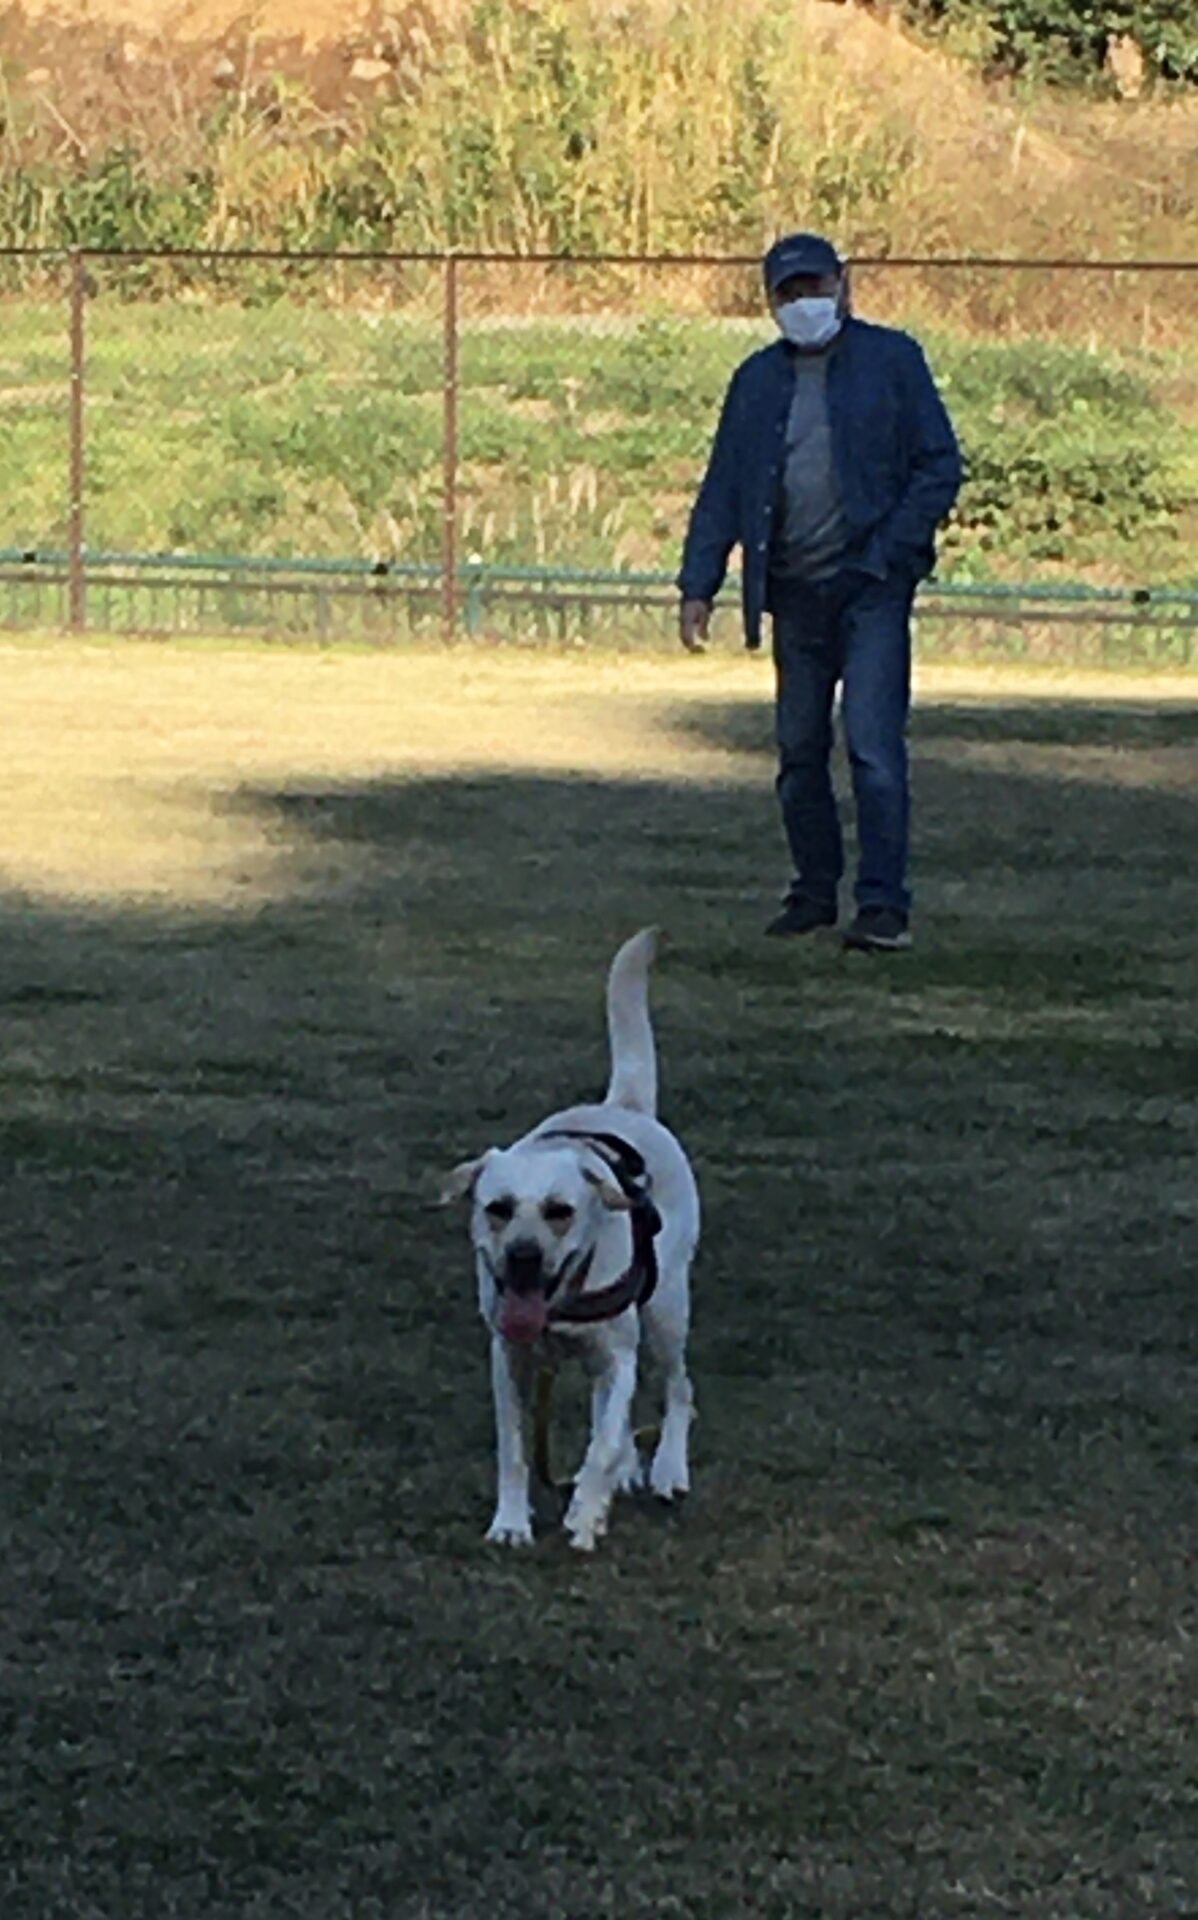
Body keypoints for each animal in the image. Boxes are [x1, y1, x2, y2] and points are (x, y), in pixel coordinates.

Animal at [442, 928, 699, 1552]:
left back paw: (666, 1469)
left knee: (679, 1390)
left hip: (666, 1312)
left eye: (560, 1211)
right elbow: (513, 1451)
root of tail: (622, 1105)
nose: (523, 1258)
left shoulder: (619, 1356)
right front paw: (511, 1522)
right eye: (497, 1209)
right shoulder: (508, 1359)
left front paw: (584, 1512)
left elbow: (600, 1445)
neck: (562, 1300)